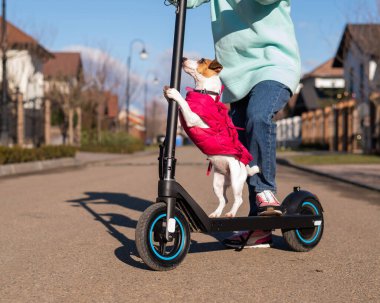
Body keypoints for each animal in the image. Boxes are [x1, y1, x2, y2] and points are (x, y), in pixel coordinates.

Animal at [163, 57, 258, 218]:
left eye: (201, 60)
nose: (183, 58)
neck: (204, 91)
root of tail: (245, 167)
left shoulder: (192, 118)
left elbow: (184, 103)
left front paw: (175, 93)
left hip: (236, 180)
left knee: (238, 199)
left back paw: (231, 213)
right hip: (218, 184)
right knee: (224, 199)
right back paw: (216, 213)